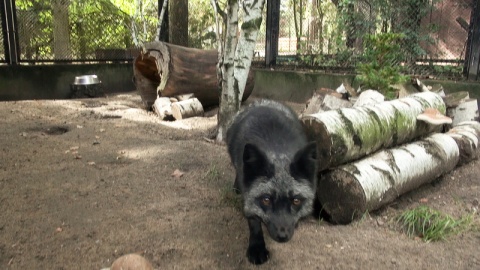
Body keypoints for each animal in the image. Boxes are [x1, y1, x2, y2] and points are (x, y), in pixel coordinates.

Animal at [226, 99, 316, 264]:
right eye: (266, 200)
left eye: (296, 201)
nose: (282, 236)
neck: (277, 150)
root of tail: (264, 102)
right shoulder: (248, 196)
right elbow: (254, 222)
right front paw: (257, 248)